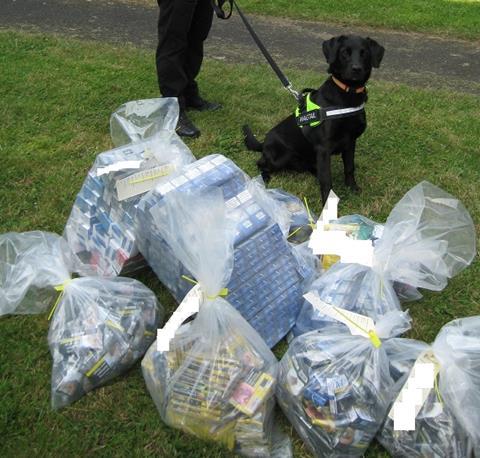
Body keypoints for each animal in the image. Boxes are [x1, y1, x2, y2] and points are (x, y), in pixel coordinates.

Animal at [244, 36, 386, 205]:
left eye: (365, 53)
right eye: (345, 52)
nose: (356, 69)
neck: (347, 96)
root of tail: (263, 143)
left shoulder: (350, 142)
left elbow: (350, 168)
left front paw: (352, 188)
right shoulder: (324, 148)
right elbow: (326, 180)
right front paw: (327, 204)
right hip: (279, 157)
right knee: (260, 164)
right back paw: (264, 178)